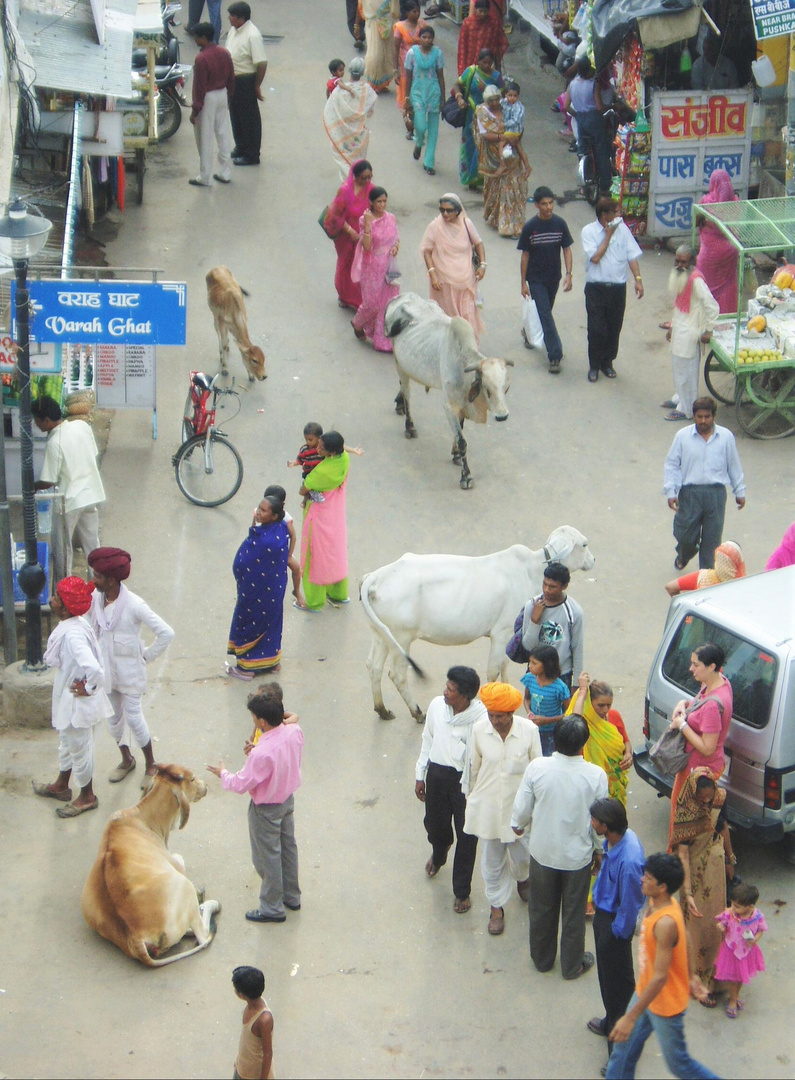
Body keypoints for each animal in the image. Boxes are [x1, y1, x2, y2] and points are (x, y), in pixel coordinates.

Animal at [81, 764, 220, 967]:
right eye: (193, 779)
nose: (205, 785)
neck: (145, 820)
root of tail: (135, 938)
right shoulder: (176, 864)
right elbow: (180, 859)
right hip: (183, 885)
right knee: (202, 935)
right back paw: (208, 904)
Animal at [360, 522, 596, 717]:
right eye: (584, 544)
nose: (593, 560)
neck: (533, 569)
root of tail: (376, 576)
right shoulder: (501, 633)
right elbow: (493, 670)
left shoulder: (510, 634)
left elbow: (504, 664)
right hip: (402, 638)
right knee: (397, 675)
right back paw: (417, 712)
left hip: (380, 635)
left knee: (373, 667)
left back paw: (382, 709)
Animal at [384, 289, 516, 488]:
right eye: (486, 388)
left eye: (505, 387)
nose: (502, 416)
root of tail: (401, 297)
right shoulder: (449, 406)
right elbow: (463, 441)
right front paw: (466, 476)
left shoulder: (461, 404)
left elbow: (459, 429)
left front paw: (455, 455)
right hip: (399, 362)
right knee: (407, 393)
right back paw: (409, 426)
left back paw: (399, 404)